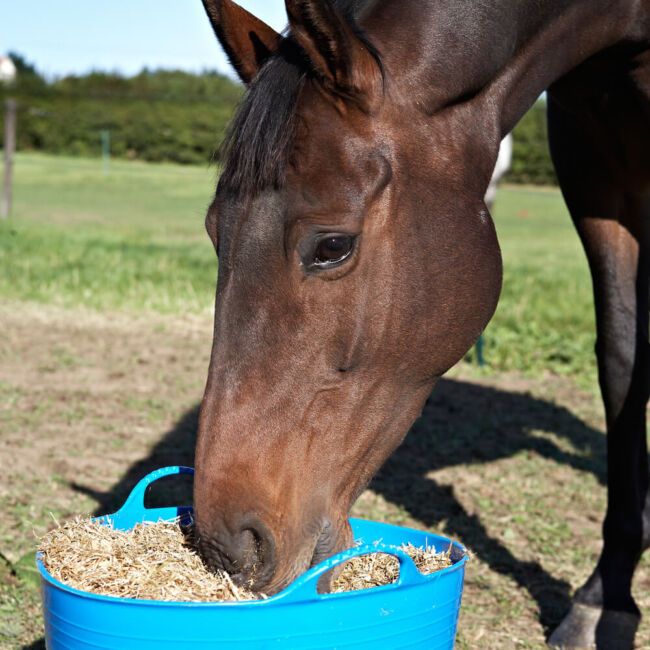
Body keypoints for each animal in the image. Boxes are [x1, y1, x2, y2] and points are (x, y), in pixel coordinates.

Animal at [193, 1, 650, 647]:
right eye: (215, 231)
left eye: (332, 246)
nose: (228, 546)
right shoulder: (593, 164)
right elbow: (623, 359)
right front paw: (603, 599)